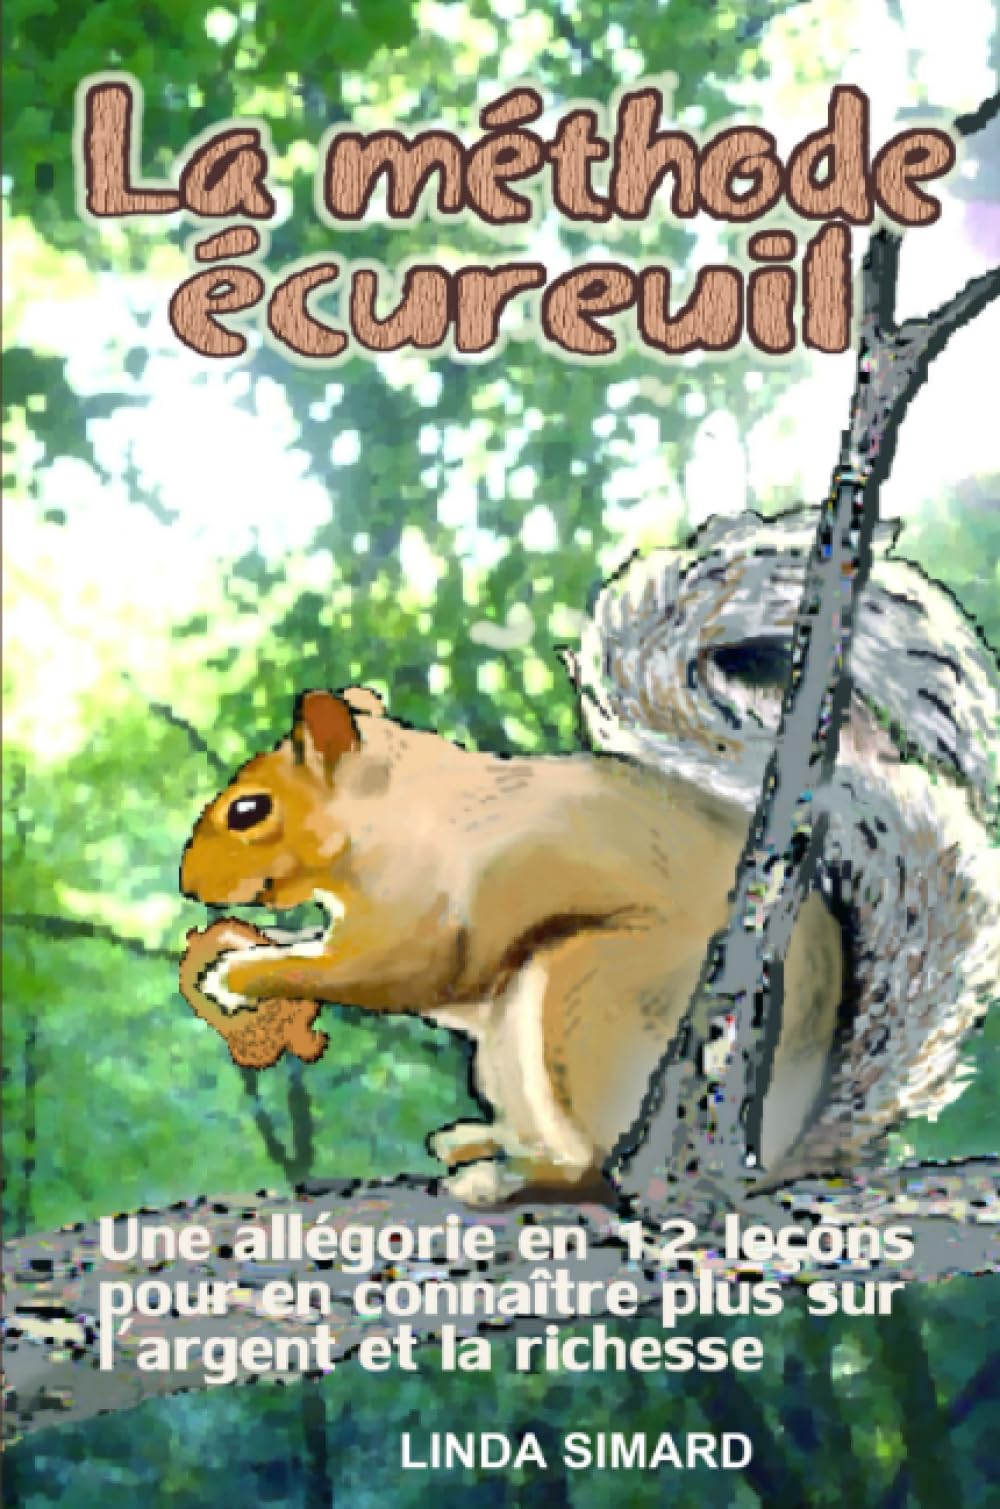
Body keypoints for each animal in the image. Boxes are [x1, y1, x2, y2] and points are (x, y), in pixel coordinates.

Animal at [179, 509, 1000, 1205]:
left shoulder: (431, 909)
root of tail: (761, 1153)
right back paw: (485, 1142)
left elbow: (396, 965)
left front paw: (242, 970)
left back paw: (514, 1176)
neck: (396, 810)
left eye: (249, 810)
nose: (188, 884)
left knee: (593, 1167)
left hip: (590, 1000)